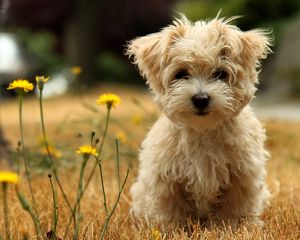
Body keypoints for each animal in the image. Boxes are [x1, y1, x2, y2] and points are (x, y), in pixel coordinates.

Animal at [126, 15, 272, 227]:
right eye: (181, 74)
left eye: (220, 73)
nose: (201, 99)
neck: (204, 131)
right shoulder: (165, 177)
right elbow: (170, 209)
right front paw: (171, 229)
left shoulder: (244, 174)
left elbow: (236, 206)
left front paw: (234, 227)